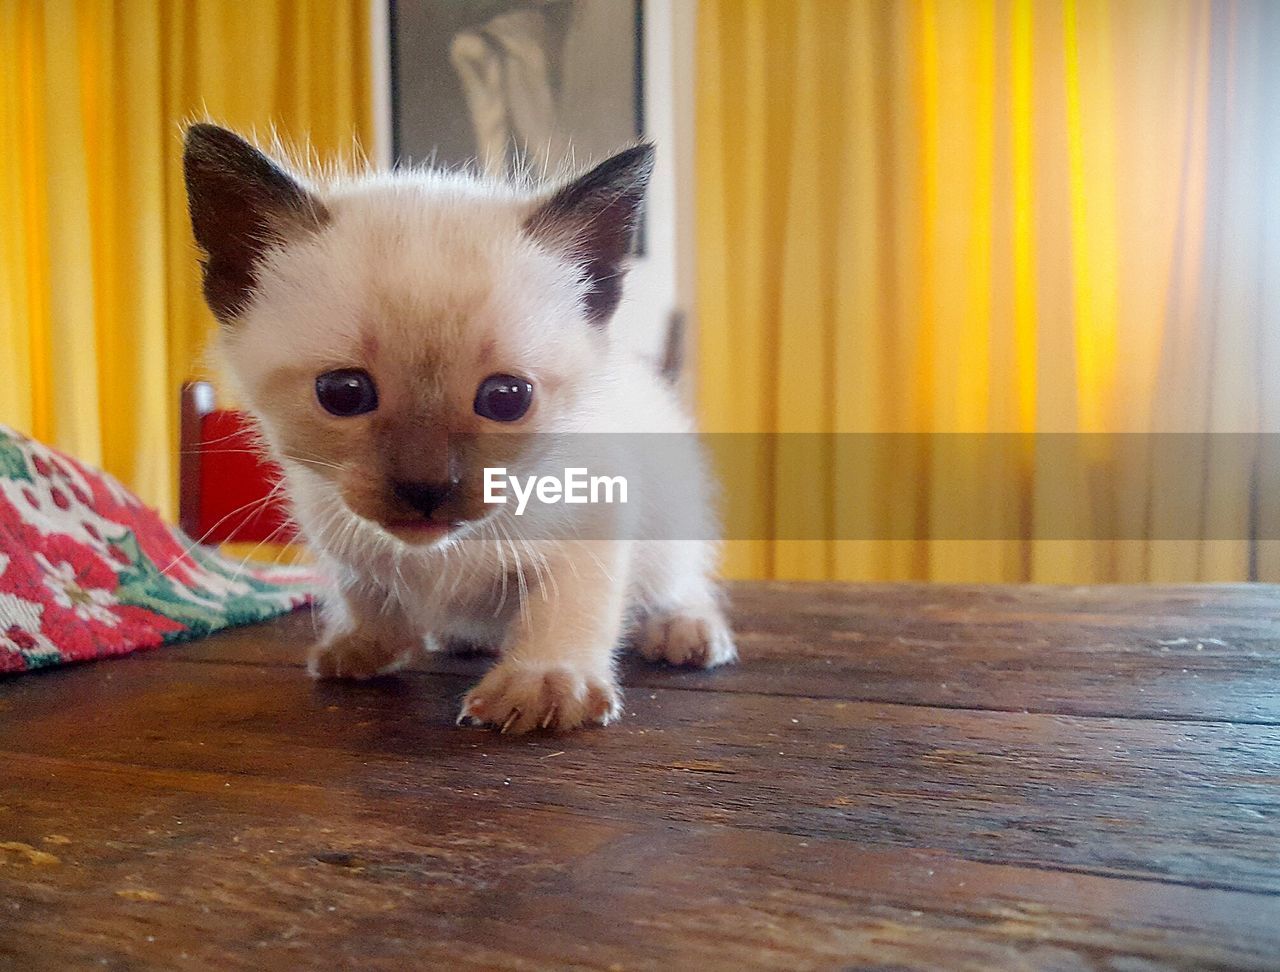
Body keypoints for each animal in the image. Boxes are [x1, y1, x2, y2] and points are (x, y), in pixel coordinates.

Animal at [184, 123, 737, 727]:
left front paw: (543, 685)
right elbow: (364, 587)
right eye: (344, 393)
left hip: (674, 511)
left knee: (677, 581)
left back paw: (685, 632)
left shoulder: (596, 517)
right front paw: (367, 647)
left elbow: (566, 607)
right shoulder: (334, 521)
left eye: (506, 399)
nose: (426, 489)